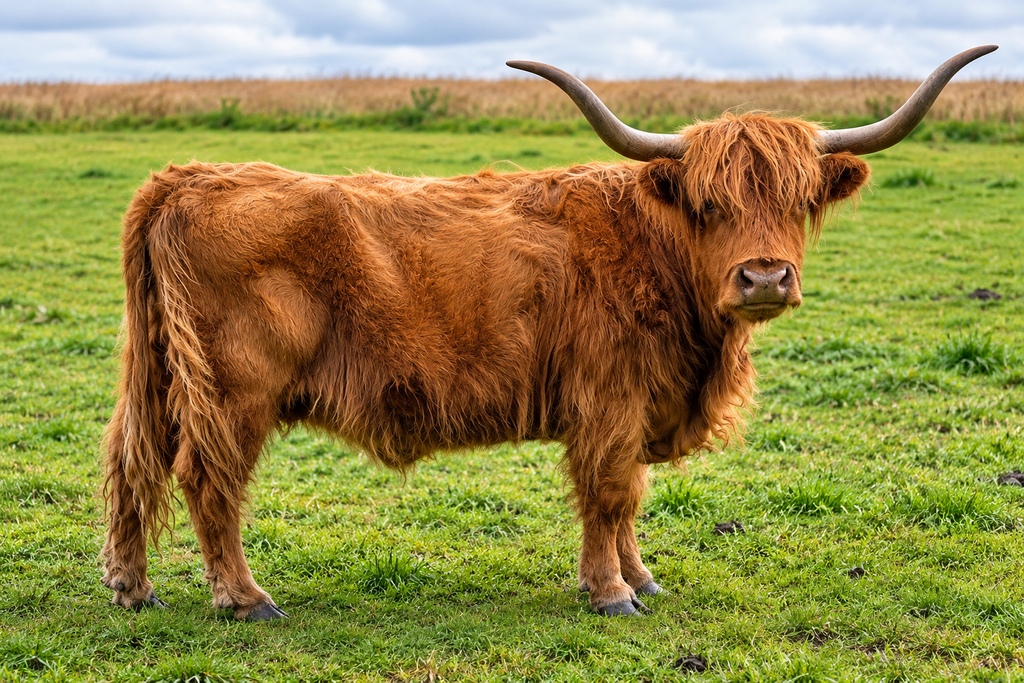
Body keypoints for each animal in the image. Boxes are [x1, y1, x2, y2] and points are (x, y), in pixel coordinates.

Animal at [100, 47, 996, 620]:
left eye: (800, 198)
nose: (765, 277)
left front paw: (642, 576)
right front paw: (611, 592)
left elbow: (632, 495)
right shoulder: (608, 399)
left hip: (160, 374)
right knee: (207, 479)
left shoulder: (639, 404)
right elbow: (609, 492)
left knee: (131, 463)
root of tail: (189, 175)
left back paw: (133, 587)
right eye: (709, 204)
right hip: (231, 389)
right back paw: (244, 599)